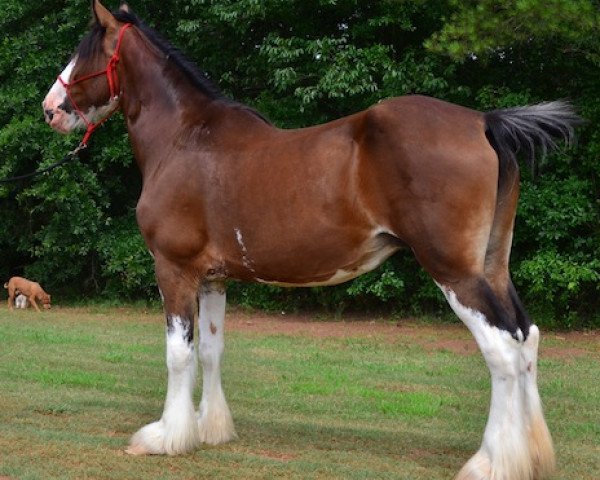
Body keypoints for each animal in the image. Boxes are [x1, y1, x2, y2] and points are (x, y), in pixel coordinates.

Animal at [39, 1, 580, 478]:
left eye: (85, 51)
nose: (49, 110)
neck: (184, 138)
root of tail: (484, 121)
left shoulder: (173, 269)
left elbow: (179, 354)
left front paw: (167, 437)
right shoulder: (213, 279)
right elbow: (211, 350)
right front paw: (210, 430)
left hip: (456, 273)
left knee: (502, 351)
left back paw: (491, 463)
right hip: (493, 266)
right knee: (526, 339)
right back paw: (530, 457)